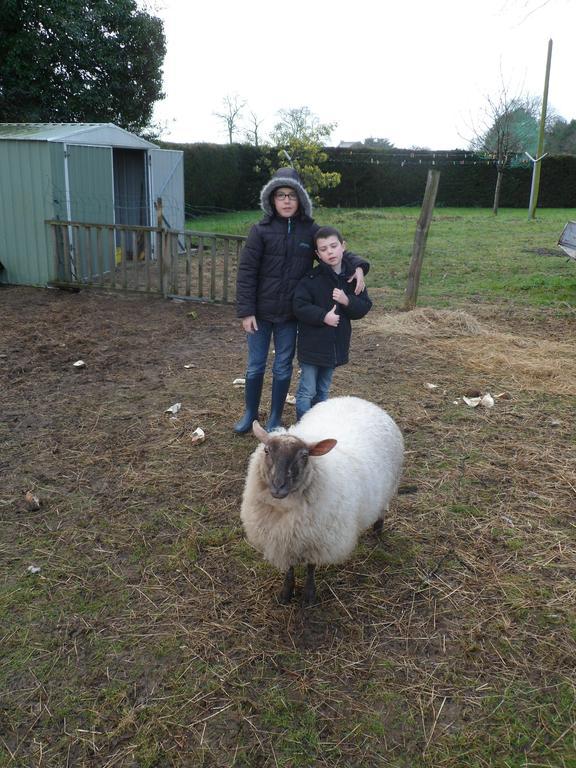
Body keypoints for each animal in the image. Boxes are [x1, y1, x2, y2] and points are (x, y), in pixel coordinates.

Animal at [238, 396, 404, 608]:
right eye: (267, 450)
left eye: (304, 455)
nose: (278, 486)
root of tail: (358, 400)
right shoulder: (285, 539)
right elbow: (290, 569)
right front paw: (286, 593)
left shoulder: (317, 539)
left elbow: (310, 567)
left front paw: (309, 596)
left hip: (389, 487)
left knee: (382, 510)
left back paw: (377, 531)